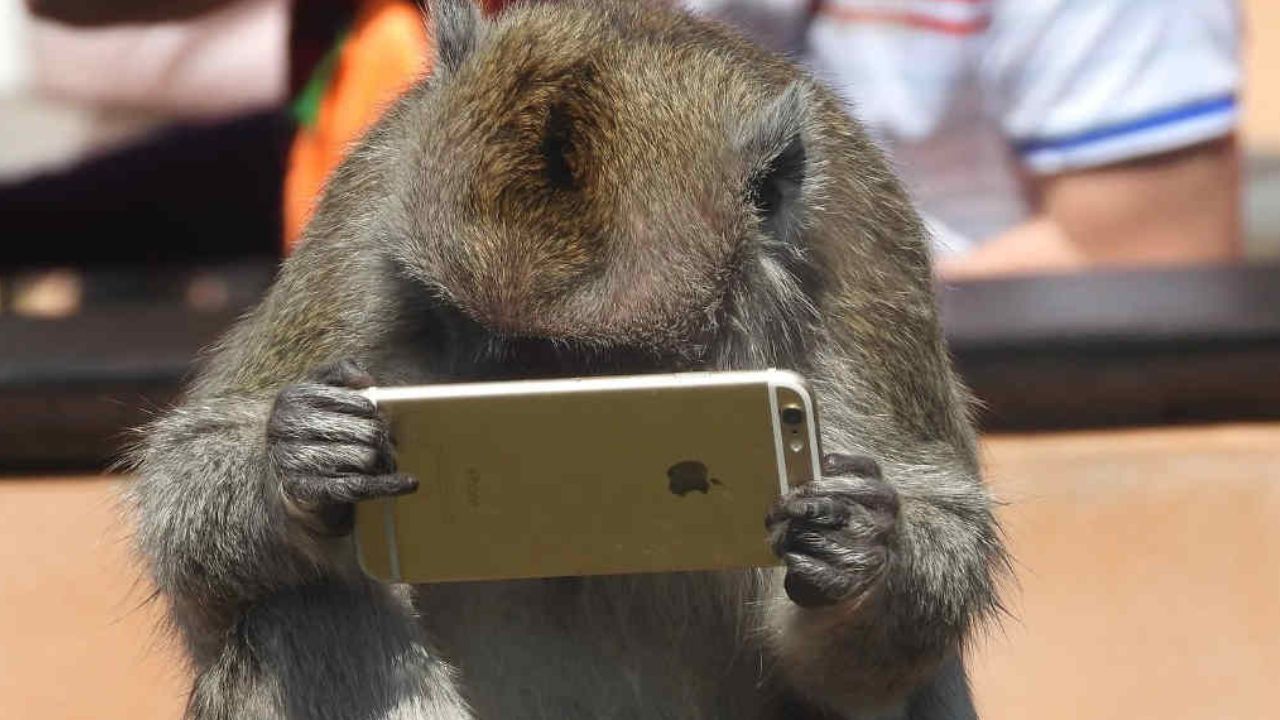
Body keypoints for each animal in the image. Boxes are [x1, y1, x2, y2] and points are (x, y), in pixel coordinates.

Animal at [126, 1, 1006, 718]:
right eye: (459, 324)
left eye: (571, 355)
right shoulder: (368, 202)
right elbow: (191, 521)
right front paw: (304, 460)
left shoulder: (861, 252)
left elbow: (928, 559)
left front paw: (854, 546)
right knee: (308, 613)